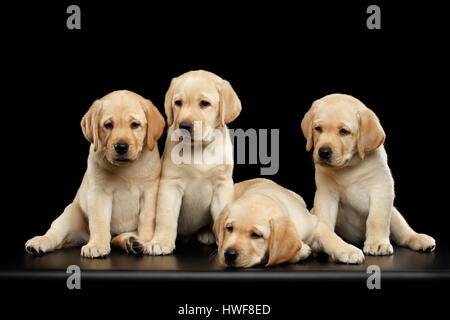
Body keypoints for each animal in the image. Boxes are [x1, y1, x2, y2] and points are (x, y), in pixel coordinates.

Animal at [24, 89, 165, 258]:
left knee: (116, 238)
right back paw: (39, 242)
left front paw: (145, 241)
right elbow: (99, 221)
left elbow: (146, 219)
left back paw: (131, 241)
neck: (127, 168)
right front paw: (97, 245)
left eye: (135, 125)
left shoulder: (150, 191)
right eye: (108, 125)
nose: (121, 147)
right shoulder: (98, 192)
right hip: (71, 213)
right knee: (55, 234)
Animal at [146, 70, 241, 255]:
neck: (199, 148)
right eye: (178, 103)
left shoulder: (222, 186)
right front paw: (161, 241)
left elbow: (222, 216)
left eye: (204, 103)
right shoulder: (170, 185)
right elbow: (166, 217)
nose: (184, 125)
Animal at [302, 92, 436, 260]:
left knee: (403, 233)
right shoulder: (326, 195)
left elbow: (376, 219)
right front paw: (337, 246)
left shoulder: (382, 190)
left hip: (394, 213)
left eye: (344, 131)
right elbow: (325, 226)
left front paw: (377, 243)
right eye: (318, 129)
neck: (349, 168)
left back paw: (419, 239)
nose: (323, 152)